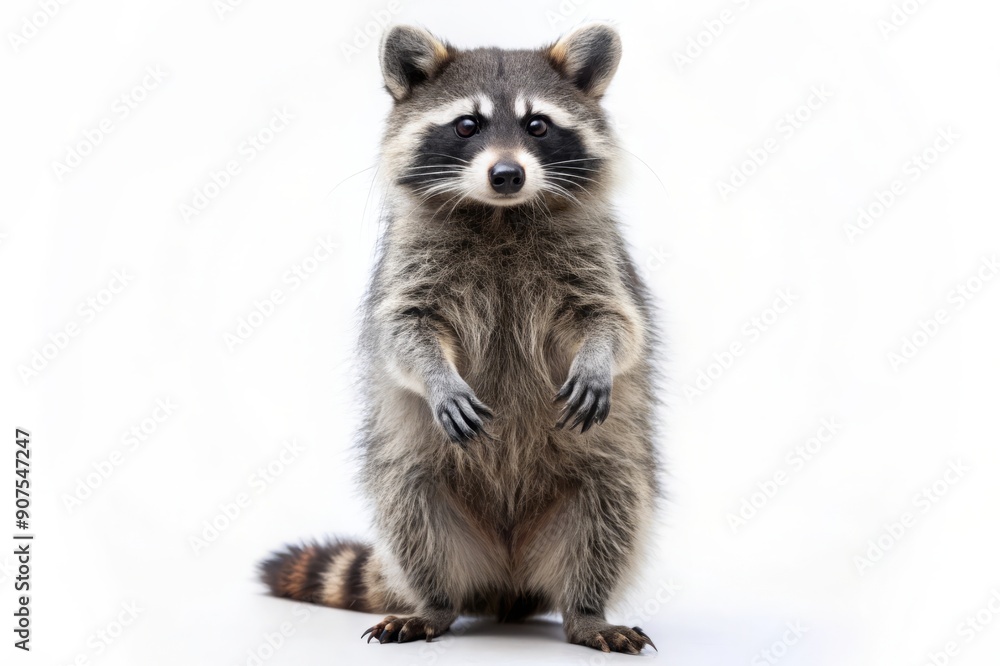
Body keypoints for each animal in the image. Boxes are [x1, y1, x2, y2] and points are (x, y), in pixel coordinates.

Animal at [260, 23, 660, 654]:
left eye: (537, 126)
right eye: (467, 125)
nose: (507, 174)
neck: (500, 213)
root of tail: (507, 580)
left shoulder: (599, 258)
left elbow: (617, 321)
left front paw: (598, 357)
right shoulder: (408, 264)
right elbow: (402, 329)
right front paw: (436, 376)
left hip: (609, 469)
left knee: (610, 513)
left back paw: (586, 610)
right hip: (413, 474)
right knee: (413, 515)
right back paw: (435, 604)